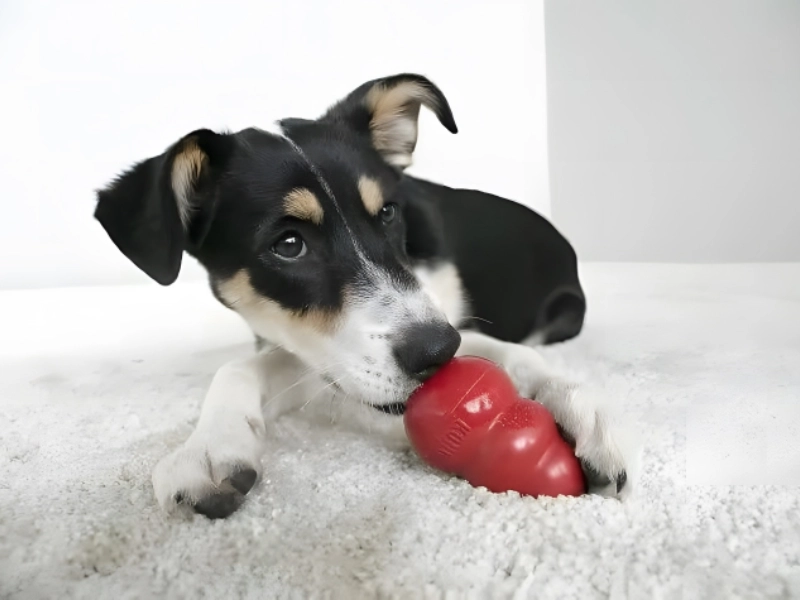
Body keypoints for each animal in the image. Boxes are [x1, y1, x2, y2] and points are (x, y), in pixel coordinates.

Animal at [95, 74, 633, 519]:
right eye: (288, 245)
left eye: (389, 214)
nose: (437, 352)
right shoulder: (312, 353)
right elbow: (239, 369)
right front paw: (208, 447)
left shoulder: (444, 322)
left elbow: (514, 355)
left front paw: (581, 412)